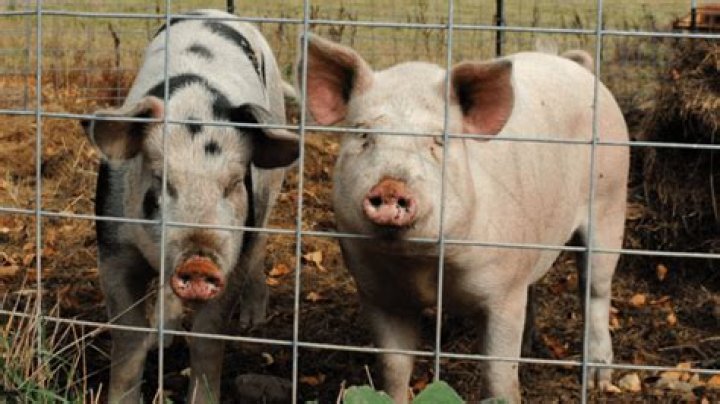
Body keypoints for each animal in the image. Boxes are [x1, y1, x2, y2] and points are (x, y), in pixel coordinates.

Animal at [81, 9, 297, 403]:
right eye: (160, 180)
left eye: (233, 183)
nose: (199, 262)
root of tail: (217, 12)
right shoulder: (113, 249)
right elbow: (128, 339)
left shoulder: (231, 258)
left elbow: (208, 338)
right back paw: (163, 338)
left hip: (271, 184)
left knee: (259, 245)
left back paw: (252, 320)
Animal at [298, 34, 628, 403]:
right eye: (363, 134)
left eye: (438, 140)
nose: (390, 186)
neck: (424, 266)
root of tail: (574, 65)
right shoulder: (379, 293)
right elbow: (394, 368)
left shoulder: (504, 292)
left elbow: (498, 374)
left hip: (610, 200)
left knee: (595, 289)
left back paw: (598, 379)